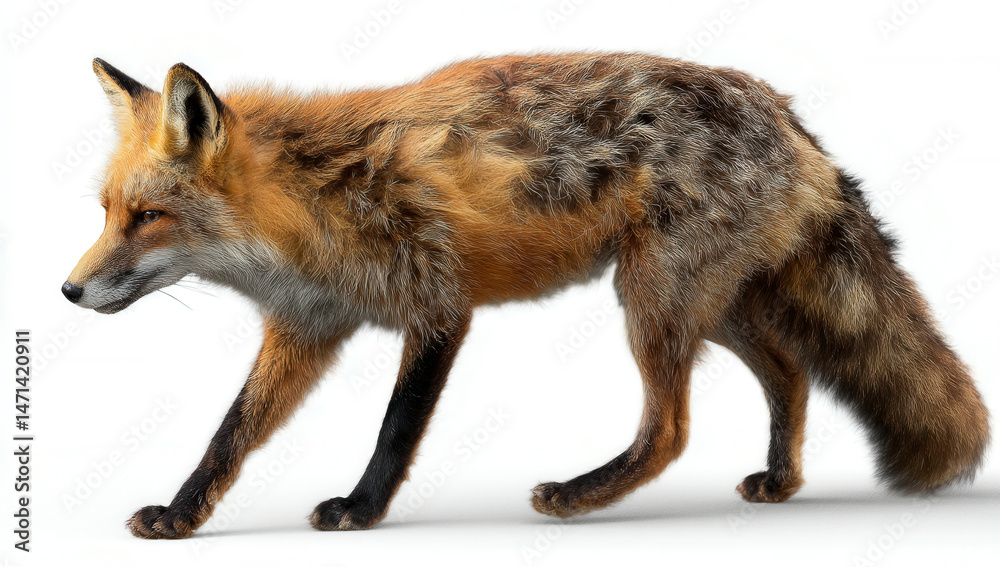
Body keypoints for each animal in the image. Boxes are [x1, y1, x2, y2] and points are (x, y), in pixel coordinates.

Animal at [63, 53, 988, 539]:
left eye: (147, 216)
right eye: (106, 212)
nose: (67, 290)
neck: (307, 204)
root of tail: (788, 114)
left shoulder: (437, 303)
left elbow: (395, 429)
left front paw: (361, 508)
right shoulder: (308, 327)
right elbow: (231, 433)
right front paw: (184, 512)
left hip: (653, 299)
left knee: (671, 429)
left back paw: (582, 494)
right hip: (713, 303)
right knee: (790, 370)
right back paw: (781, 478)